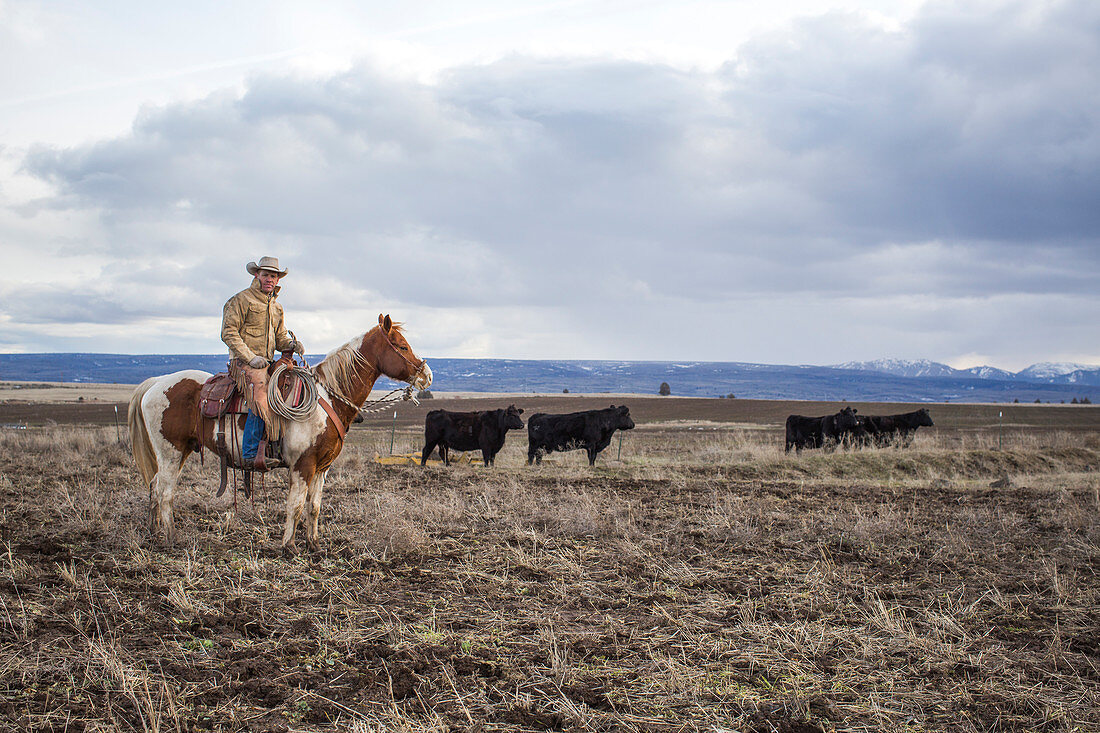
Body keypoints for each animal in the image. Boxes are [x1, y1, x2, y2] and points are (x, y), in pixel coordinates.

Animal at [130, 312, 431, 554]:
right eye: (402, 346)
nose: (426, 375)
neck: (327, 398)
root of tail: (155, 383)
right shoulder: (302, 465)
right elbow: (294, 506)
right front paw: (289, 546)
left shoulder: (322, 468)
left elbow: (314, 506)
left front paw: (314, 545)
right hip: (171, 451)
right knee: (165, 492)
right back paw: (171, 538)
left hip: (178, 452)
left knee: (154, 486)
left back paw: (154, 533)